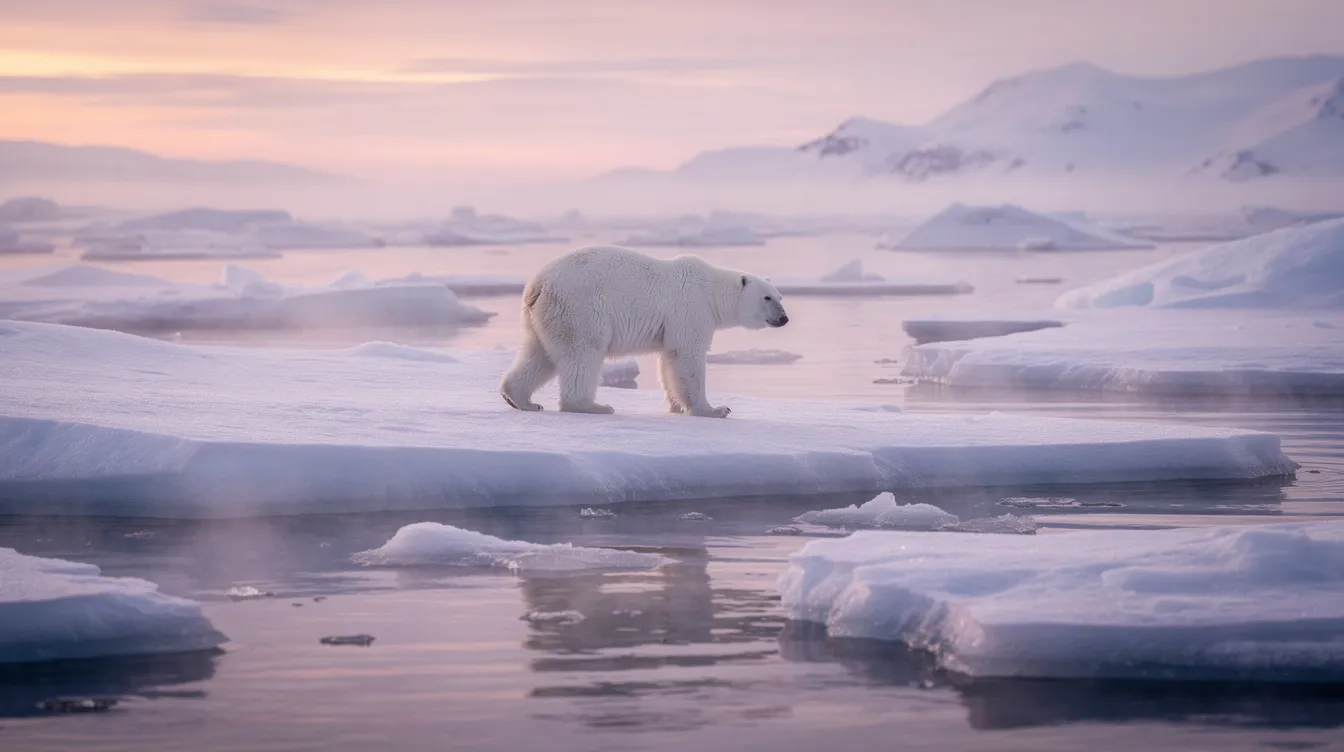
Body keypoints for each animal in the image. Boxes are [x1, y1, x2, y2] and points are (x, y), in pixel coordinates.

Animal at [499, 245, 789, 417]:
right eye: (766, 298)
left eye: (780, 296)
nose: (784, 318)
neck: (712, 290)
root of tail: (537, 285)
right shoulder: (691, 309)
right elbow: (688, 356)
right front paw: (714, 409)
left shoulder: (672, 324)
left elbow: (668, 360)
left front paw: (675, 406)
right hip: (579, 309)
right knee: (583, 353)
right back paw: (593, 406)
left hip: (545, 317)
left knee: (539, 354)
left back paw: (522, 400)